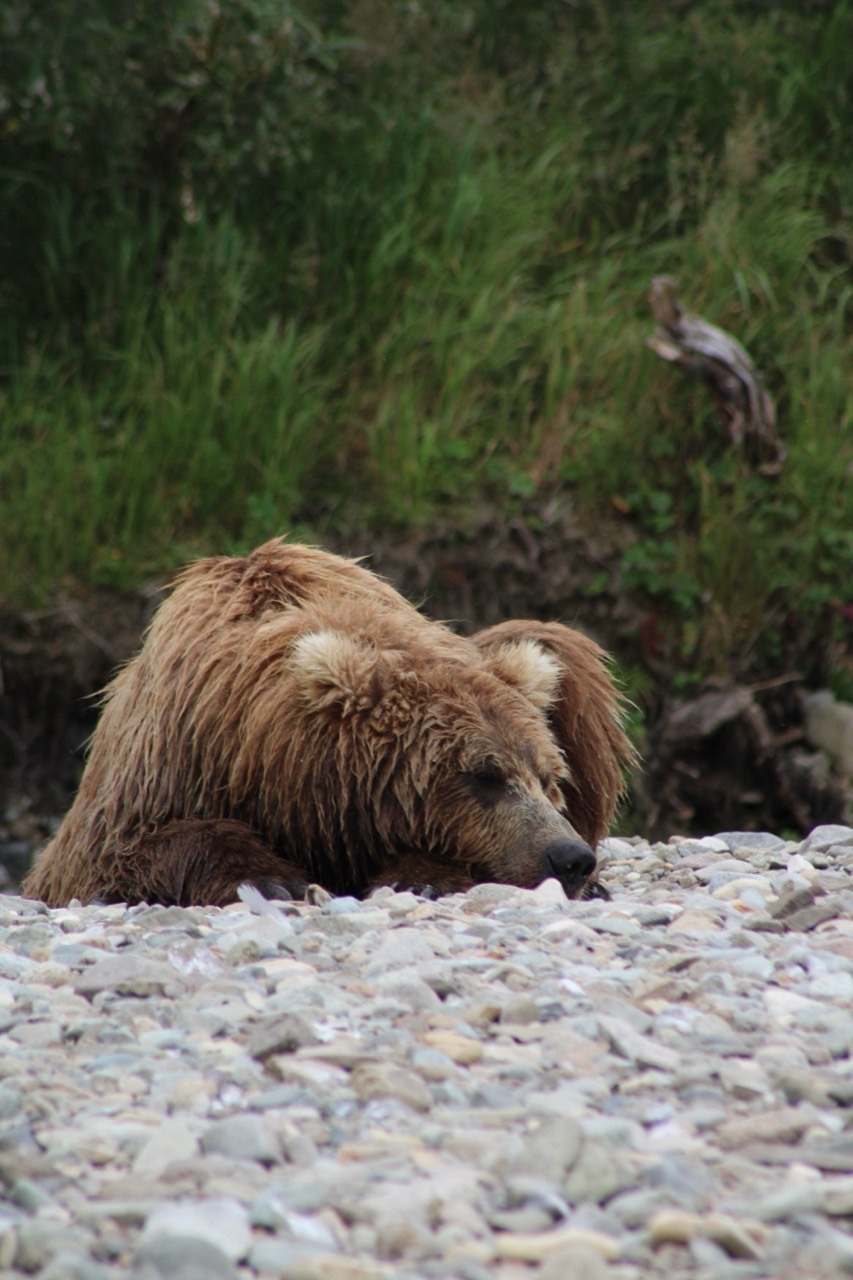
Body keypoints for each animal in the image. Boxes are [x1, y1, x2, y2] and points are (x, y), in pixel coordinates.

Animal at [23, 539, 634, 907]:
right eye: (484, 775)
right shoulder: (163, 762)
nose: (570, 857)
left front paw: (422, 873)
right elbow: (118, 856)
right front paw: (271, 877)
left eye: (550, 778)